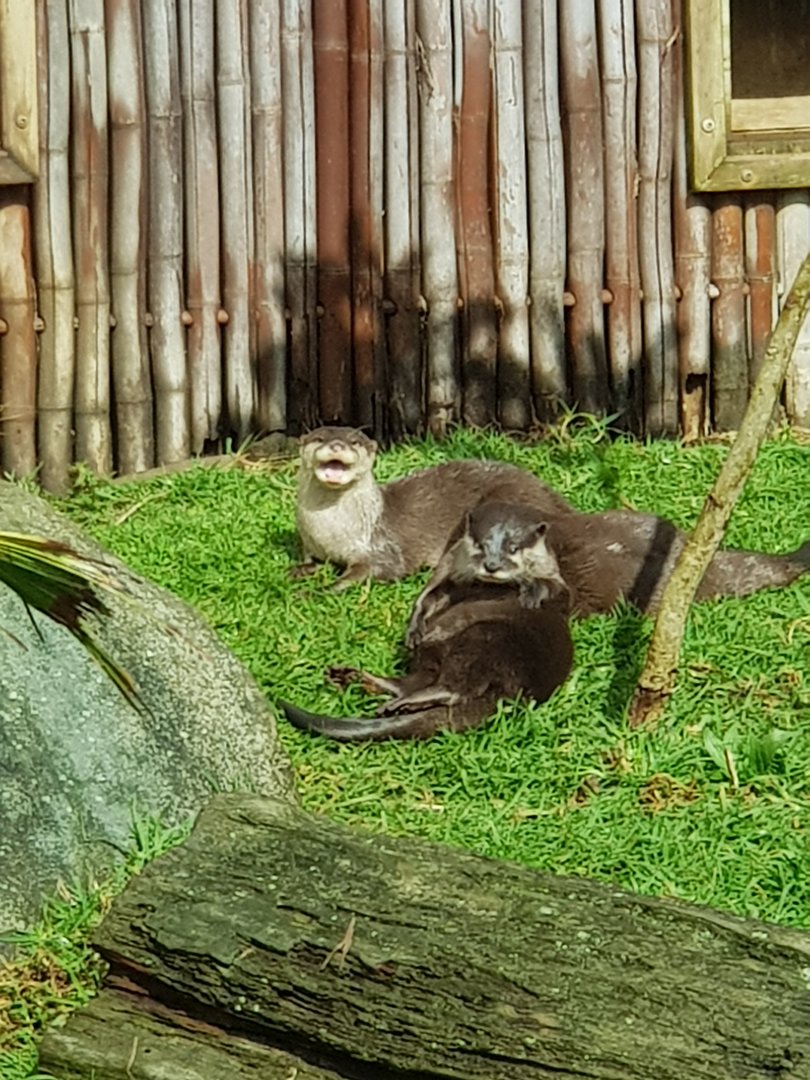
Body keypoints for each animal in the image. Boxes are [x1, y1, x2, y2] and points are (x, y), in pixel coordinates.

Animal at [280, 503, 573, 741]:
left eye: (513, 548)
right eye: (481, 545)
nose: (491, 565)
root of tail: (516, 692)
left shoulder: (554, 578)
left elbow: (556, 590)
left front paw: (531, 592)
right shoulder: (449, 569)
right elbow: (429, 596)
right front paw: (414, 627)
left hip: (491, 639)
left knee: (458, 688)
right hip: (437, 654)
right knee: (416, 679)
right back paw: (359, 680)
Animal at [294, 425, 810, 613]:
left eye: (355, 442)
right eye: (319, 435)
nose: (336, 445)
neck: (334, 531)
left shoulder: (383, 546)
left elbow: (374, 570)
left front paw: (330, 588)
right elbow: (308, 559)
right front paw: (302, 572)